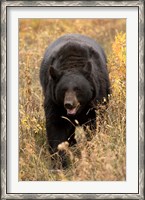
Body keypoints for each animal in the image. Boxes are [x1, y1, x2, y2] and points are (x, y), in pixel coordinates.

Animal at [39, 34, 110, 169]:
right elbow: (56, 127)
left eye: (78, 89)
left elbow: (94, 124)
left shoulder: (95, 100)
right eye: (63, 90)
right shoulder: (54, 102)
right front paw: (60, 164)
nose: (69, 104)